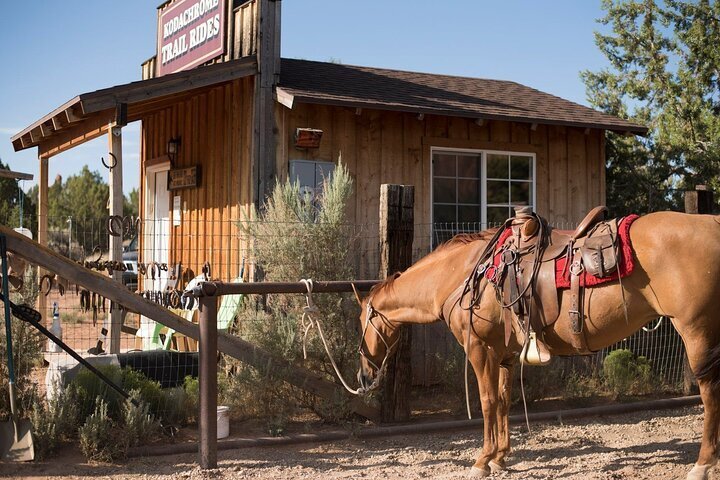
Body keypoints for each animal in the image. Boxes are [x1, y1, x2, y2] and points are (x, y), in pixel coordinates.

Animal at [358, 212, 720, 480]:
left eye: (361, 322)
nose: (363, 376)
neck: (462, 274)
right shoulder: (504, 354)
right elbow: (504, 401)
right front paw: (500, 458)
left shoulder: (479, 349)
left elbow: (488, 402)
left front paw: (482, 460)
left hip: (697, 329)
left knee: (709, 392)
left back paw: (702, 464)